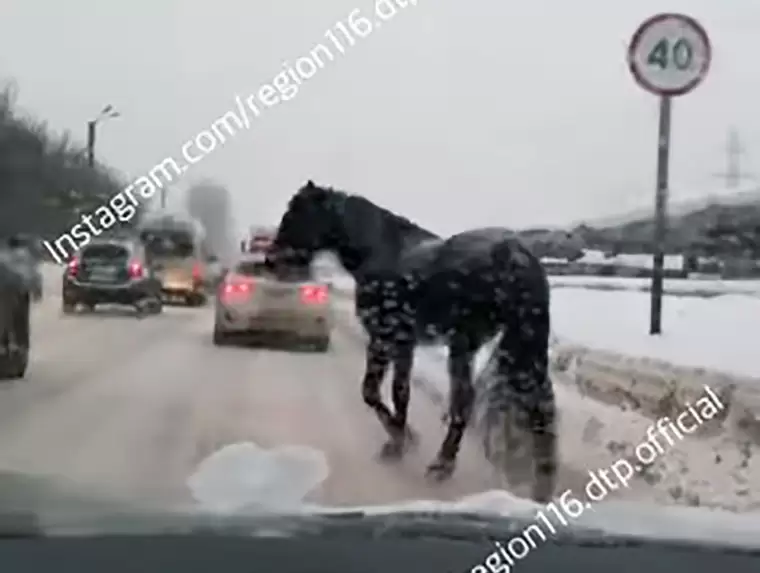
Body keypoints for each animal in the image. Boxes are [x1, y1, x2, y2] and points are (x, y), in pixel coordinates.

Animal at [268, 180, 560, 500]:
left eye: (297, 212)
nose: (271, 260)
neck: (381, 251)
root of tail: (516, 253)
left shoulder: (383, 338)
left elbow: (372, 391)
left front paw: (401, 440)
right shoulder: (405, 344)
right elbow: (400, 392)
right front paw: (401, 439)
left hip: (464, 343)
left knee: (465, 400)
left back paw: (442, 465)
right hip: (521, 342)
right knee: (539, 402)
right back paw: (542, 485)